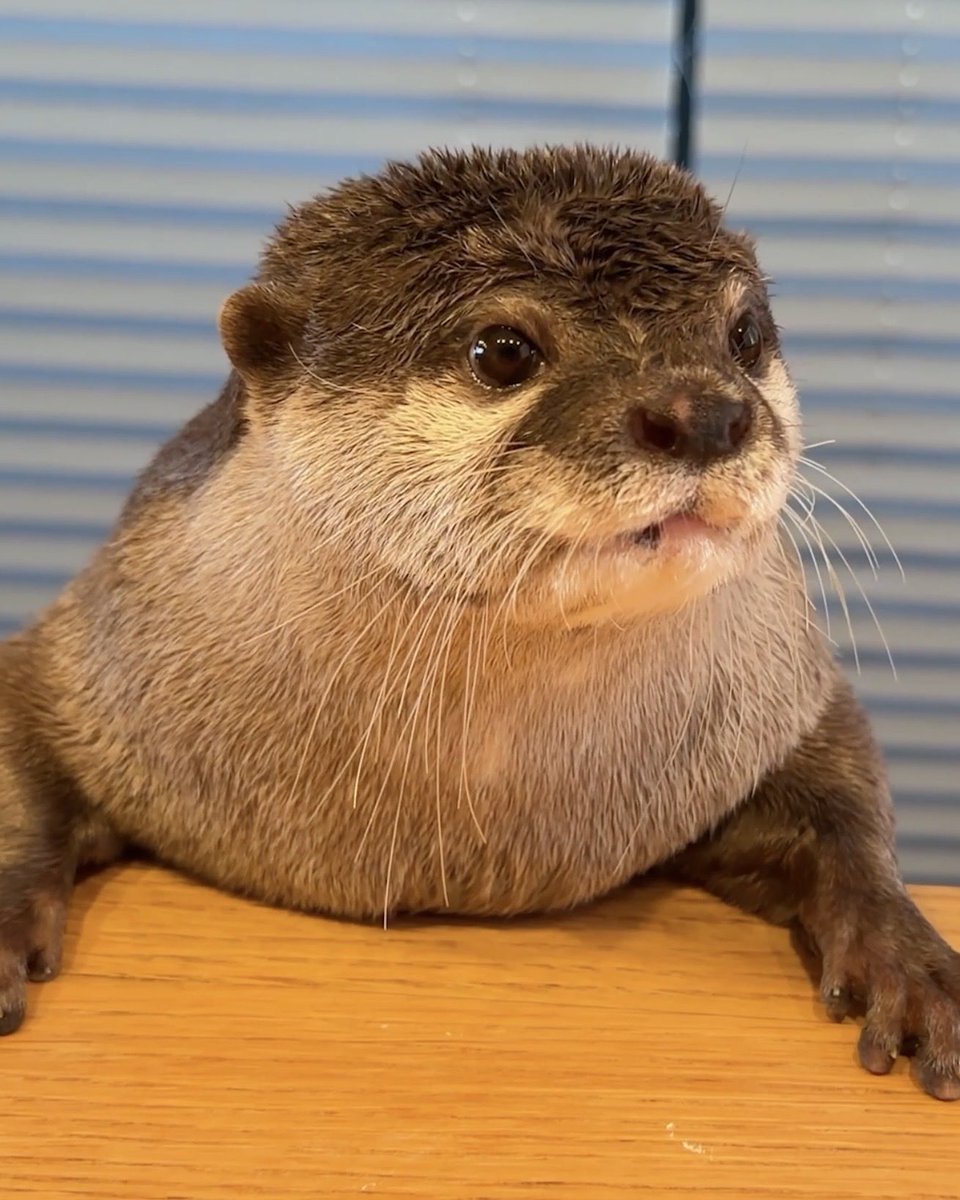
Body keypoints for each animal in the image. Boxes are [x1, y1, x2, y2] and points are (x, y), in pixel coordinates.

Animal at [1, 146, 957, 1098]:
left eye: (746, 334)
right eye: (502, 351)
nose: (703, 412)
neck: (474, 830)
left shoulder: (783, 698)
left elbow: (846, 808)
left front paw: (908, 962)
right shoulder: (90, 652)